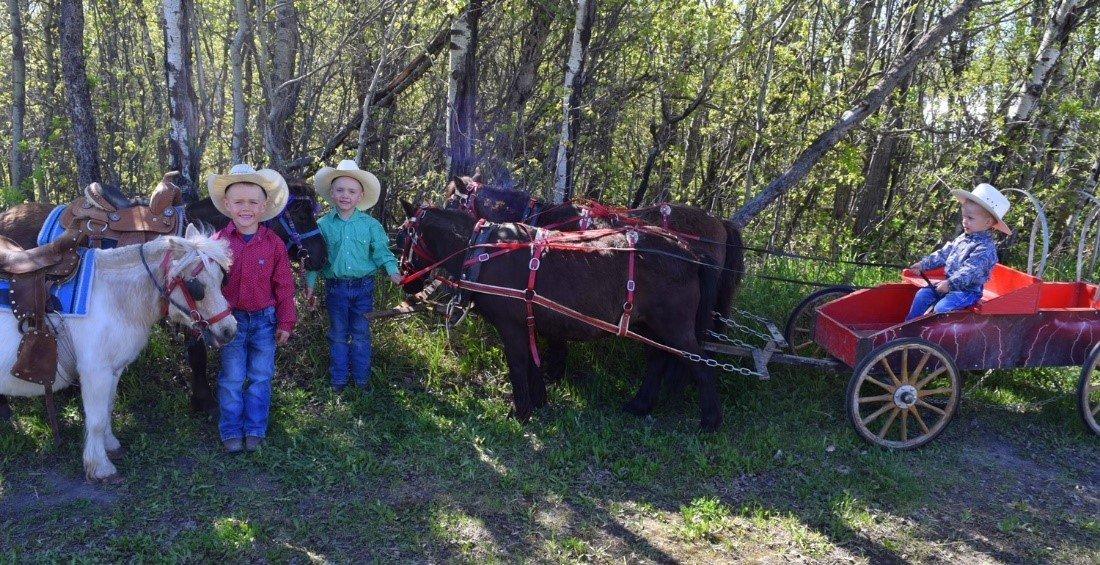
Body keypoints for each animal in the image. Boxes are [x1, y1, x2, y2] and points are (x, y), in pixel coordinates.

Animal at [0, 224, 236, 479]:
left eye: (222, 280)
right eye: (197, 287)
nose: (229, 330)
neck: (110, 295)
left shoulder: (114, 370)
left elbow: (107, 409)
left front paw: (110, 444)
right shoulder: (95, 371)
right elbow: (95, 419)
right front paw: (100, 467)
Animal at [400, 201, 726, 426]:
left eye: (405, 236)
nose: (405, 283)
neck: (483, 251)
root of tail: (691, 253)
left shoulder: (510, 325)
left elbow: (518, 364)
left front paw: (520, 412)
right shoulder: (525, 322)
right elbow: (532, 364)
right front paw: (538, 402)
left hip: (674, 326)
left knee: (703, 364)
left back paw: (710, 421)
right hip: (647, 325)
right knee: (657, 360)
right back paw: (640, 405)